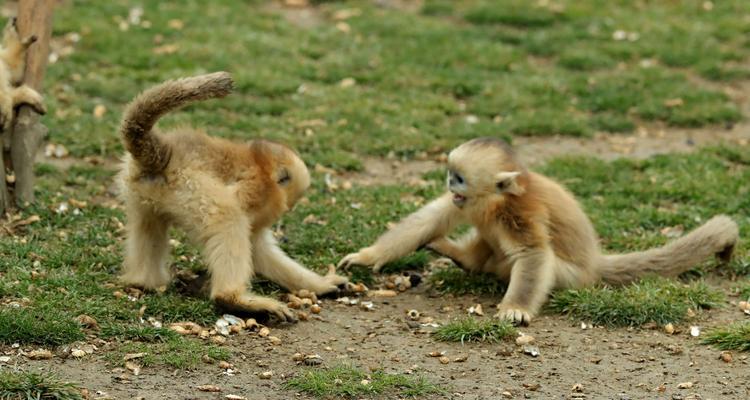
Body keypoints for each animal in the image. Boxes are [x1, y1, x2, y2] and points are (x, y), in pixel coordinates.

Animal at [119, 71, 352, 322]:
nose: (287, 208)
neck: (259, 164)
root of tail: (164, 155)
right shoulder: (258, 191)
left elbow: (259, 249)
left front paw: (320, 284)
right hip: (190, 186)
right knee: (228, 216)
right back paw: (234, 299)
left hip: (140, 192)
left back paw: (144, 281)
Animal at [340, 138, 740, 324]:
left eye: (459, 177)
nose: (448, 182)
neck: (496, 201)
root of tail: (594, 265)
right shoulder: (464, 204)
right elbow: (430, 217)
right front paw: (367, 257)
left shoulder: (520, 212)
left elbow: (533, 253)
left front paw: (515, 310)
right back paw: (463, 257)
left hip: (568, 277)